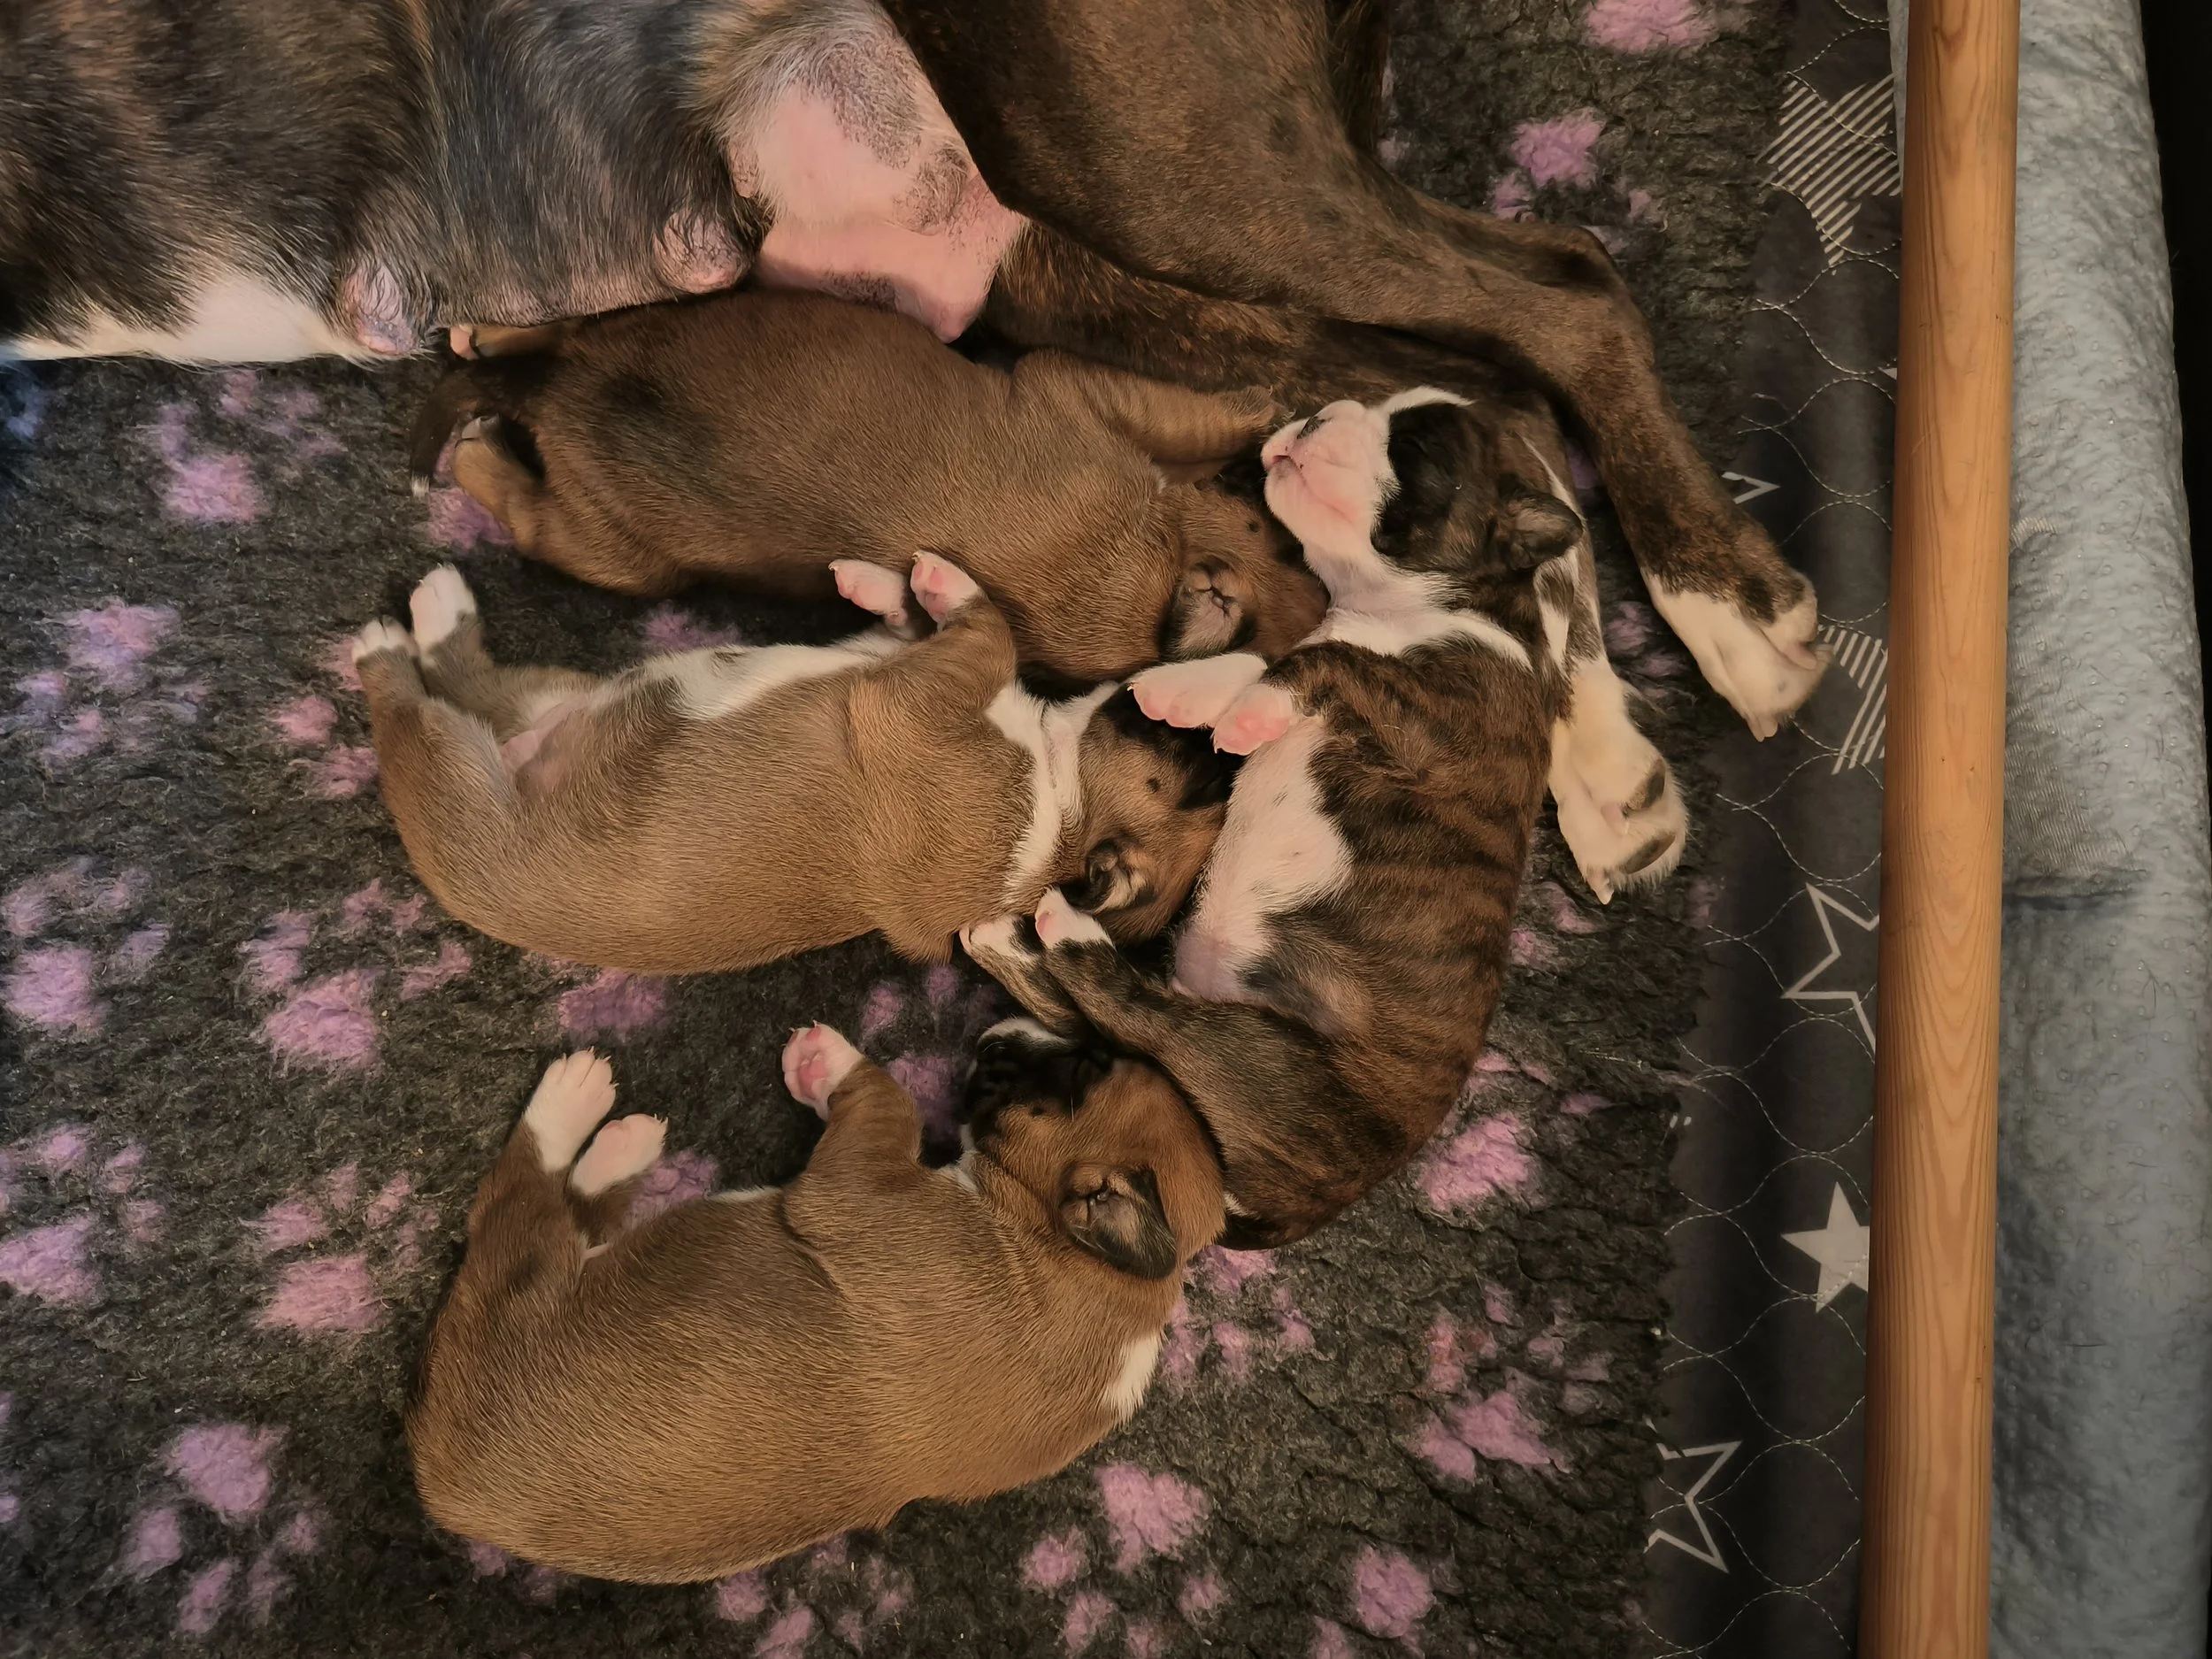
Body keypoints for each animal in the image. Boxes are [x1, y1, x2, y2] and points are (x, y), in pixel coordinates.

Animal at [349, 554, 1232, 973]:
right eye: (1189, 758)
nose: (1215, 741)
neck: (1060, 813)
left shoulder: (910, 701)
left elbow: (993, 632)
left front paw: (945, 580)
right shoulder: (899, 664)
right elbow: (920, 624)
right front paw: (888, 580)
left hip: (452, 781)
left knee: (412, 711)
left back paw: (387, 642)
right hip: (542, 694)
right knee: (470, 676)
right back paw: (440, 609)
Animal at [406, 288, 1326, 682]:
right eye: (1286, 544)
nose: (1325, 590)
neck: (1153, 587)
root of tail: (557, 394)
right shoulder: (1075, 387)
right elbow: (1192, 418)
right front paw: (1264, 408)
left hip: (615, 531)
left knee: (538, 446)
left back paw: (482, 382)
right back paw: (482, 378)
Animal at [407, 1020, 1224, 1581]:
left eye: (1085, 1069)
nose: (991, 1033)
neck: (1104, 1270)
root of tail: (442, 1482)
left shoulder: (852, 1191)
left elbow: (889, 1104)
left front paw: (822, 1059)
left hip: (515, 1285)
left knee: (518, 1201)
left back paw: (584, 1106)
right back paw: (620, 1141)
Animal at [962, 386, 1677, 1248]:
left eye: (1416, 448)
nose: (1319, 412)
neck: (1415, 606)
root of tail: (1273, 1206)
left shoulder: (1432, 712)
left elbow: (1320, 660)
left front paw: (1225, 707)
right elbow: (1266, 653)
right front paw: (1194, 692)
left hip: (1261, 1056)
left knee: (1125, 1005)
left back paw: (1064, 928)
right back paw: (1005, 934)